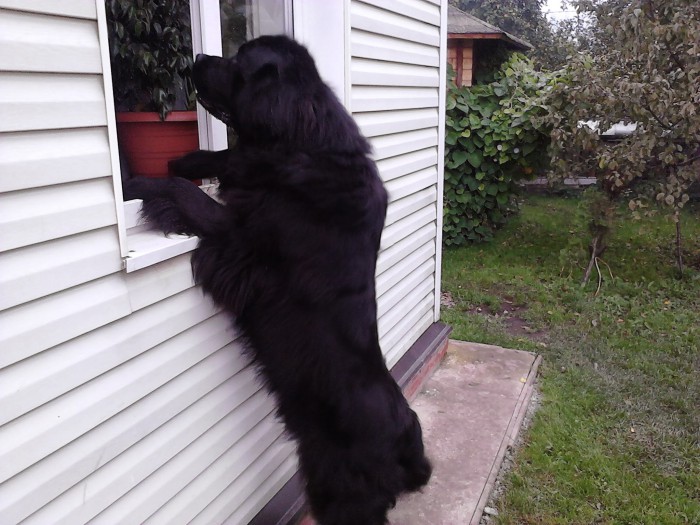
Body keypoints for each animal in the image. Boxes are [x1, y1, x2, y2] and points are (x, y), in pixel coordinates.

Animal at [126, 34, 432, 520]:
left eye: (238, 62)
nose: (197, 56)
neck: (305, 145)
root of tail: (406, 439)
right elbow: (221, 160)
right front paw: (187, 160)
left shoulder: (238, 241)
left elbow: (187, 196)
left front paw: (138, 183)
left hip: (337, 488)